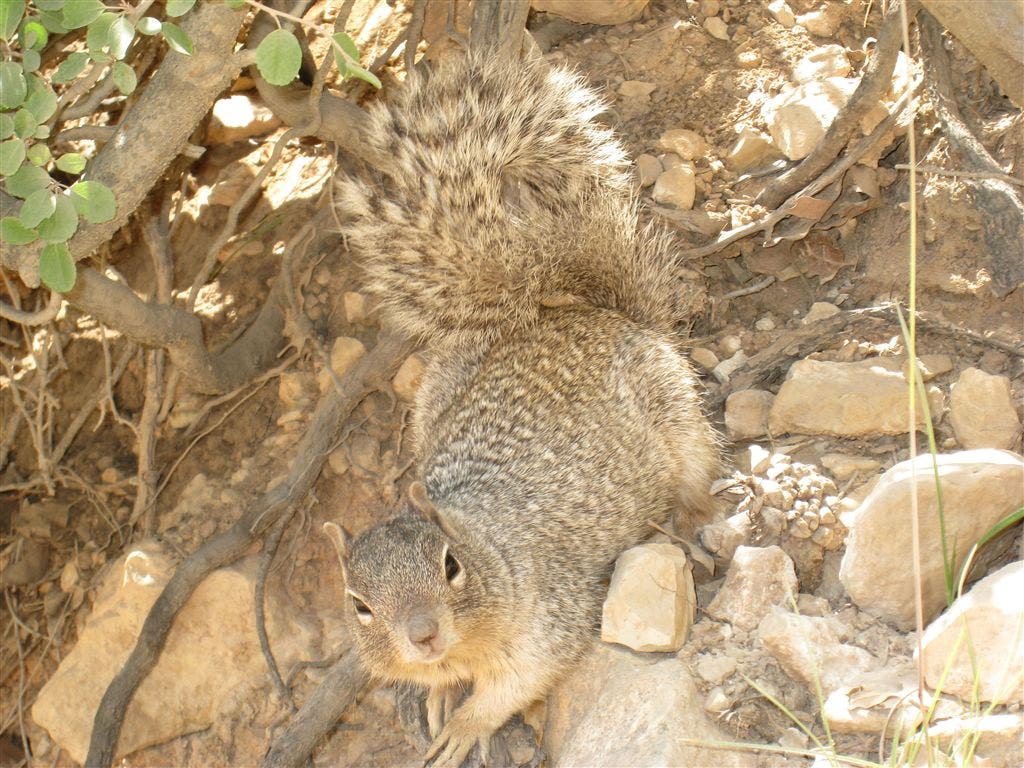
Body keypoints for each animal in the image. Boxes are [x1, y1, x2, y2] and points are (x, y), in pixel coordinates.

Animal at [323, 50, 720, 767]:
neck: (484, 540)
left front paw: (467, 723)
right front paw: (438, 696)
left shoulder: (549, 614)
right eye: (359, 606)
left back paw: (688, 519)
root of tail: (593, 314)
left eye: (450, 566)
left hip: (675, 416)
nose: (422, 635)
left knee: (697, 474)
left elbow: (524, 678)